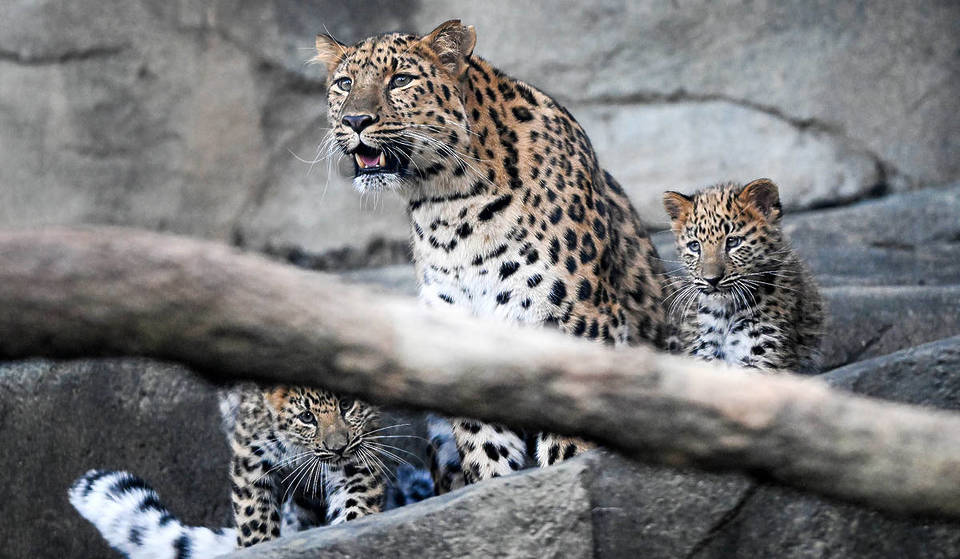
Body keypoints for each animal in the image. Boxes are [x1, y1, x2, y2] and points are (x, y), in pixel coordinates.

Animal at [69, 385, 392, 556]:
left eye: (347, 404)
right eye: (306, 417)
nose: (338, 448)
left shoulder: (359, 453)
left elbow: (356, 504)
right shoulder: (250, 457)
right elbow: (254, 518)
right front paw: (260, 546)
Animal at [312, 18, 672, 489]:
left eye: (401, 80)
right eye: (344, 83)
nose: (355, 120)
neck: (449, 206)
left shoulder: (581, 322)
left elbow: (571, 440)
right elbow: (486, 448)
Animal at [662, 178, 825, 373]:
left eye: (733, 242)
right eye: (695, 246)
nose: (711, 279)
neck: (726, 313)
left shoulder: (763, 347)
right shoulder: (704, 348)